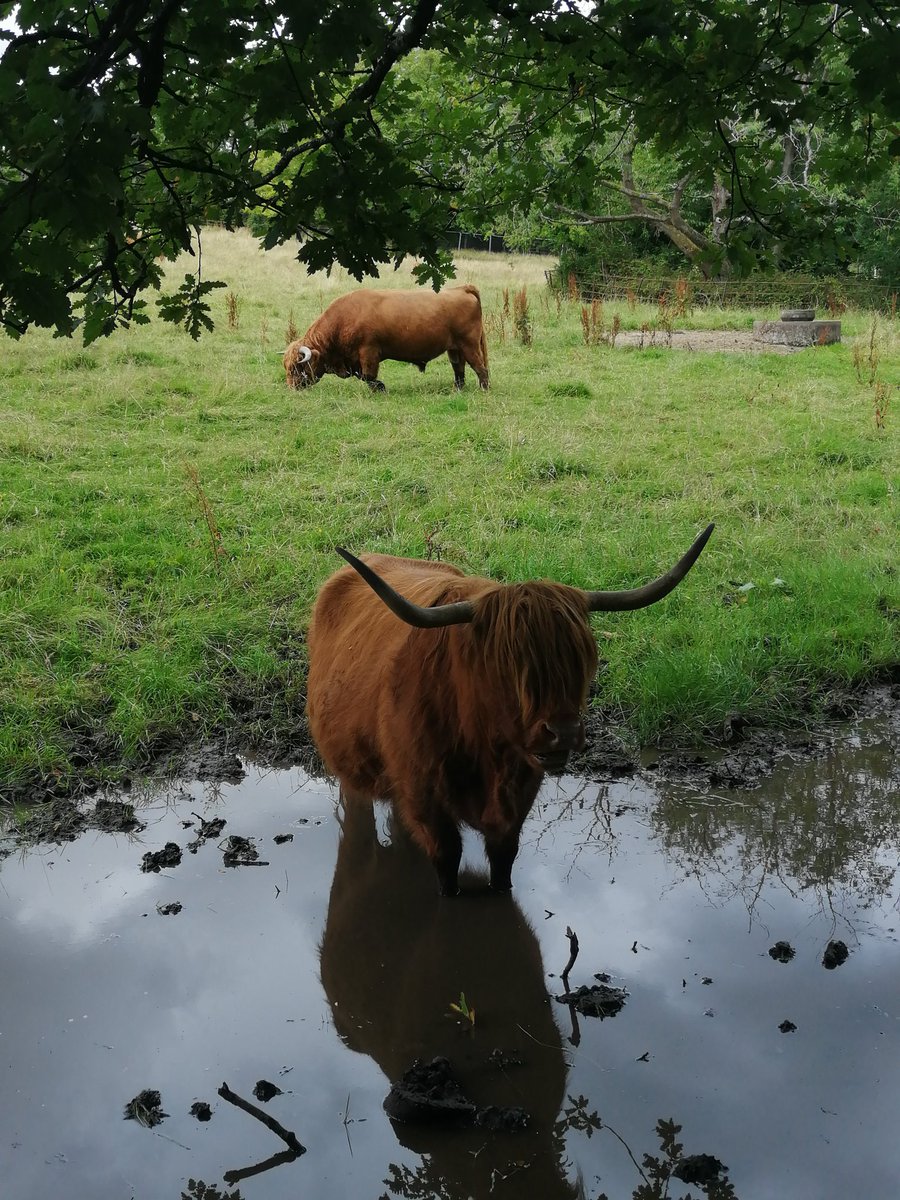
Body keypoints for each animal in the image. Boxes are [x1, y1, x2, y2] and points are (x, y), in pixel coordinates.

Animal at [283, 285, 489, 392]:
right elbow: (362, 375)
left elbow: (368, 376)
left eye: (297, 367)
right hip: (455, 349)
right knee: (459, 369)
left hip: (469, 345)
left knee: (481, 368)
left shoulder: (368, 352)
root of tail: (461, 289)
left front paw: (380, 388)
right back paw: (458, 389)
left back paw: (483, 389)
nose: (292, 388)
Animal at [306, 523, 713, 896]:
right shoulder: (426, 801)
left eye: (580, 663)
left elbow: (503, 866)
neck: (483, 747)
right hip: (354, 775)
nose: (563, 732)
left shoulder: (516, 804)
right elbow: (447, 869)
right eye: (508, 667)